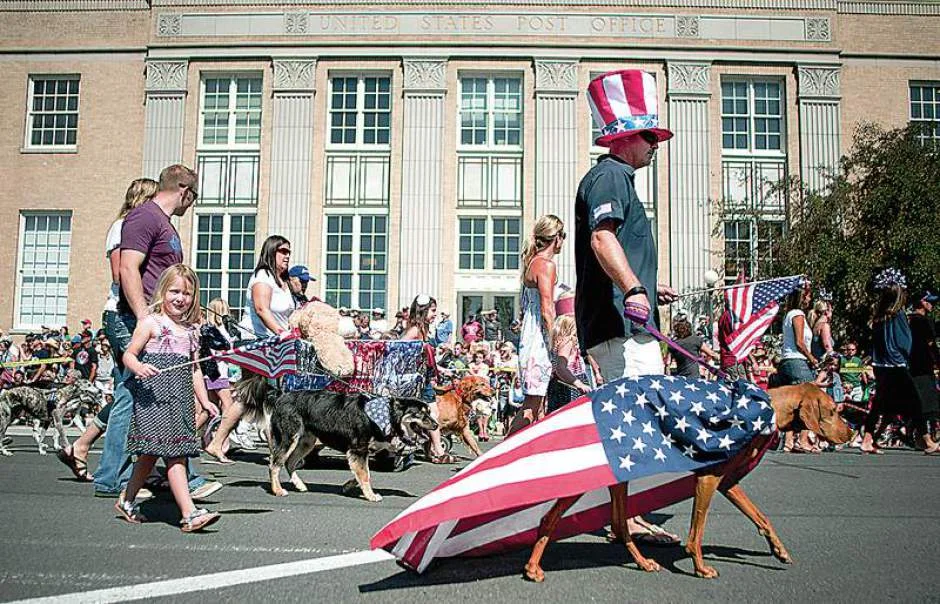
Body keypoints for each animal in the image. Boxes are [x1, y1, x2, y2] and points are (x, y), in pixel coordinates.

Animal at [235, 376, 438, 501]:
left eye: (429, 412)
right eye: (421, 414)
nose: (436, 425)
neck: (386, 415)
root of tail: (281, 394)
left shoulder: (359, 452)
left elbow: (361, 473)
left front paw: (349, 486)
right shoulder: (358, 450)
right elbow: (365, 474)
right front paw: (371, 495)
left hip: (306, 442)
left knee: (289, 463)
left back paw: (300, 485)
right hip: (288, 438)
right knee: (274, 465)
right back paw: (277, 490)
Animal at [522, 382, 854, 582]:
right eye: (833, 410)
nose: (851, 432)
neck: (759, 410)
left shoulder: (726, 480)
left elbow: (761, 517)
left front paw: (779, 550)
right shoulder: (708, 479)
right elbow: (697, 530)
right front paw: (700, 567)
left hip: (620, 480)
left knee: (617, 524)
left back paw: (642, 562)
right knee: (551, 518)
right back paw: (533, 567)